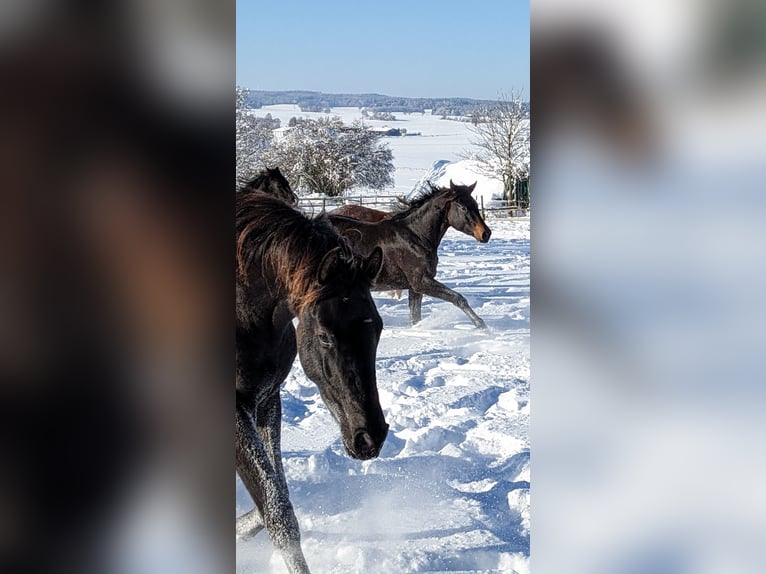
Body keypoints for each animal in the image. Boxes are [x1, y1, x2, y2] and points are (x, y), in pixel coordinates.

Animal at [236, 192, 390, 572]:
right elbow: (278, 515)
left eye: (378, 327)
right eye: (324, 336)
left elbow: (274, 497)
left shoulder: (266, 401)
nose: (370, 437)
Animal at [330, 182, 492, 330]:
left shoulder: (414, 288)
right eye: (463, 207)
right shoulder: (420, 282)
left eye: (476, 204)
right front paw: (481, 324)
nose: (486, 234)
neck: (416, 236)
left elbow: (415, 317)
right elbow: (458, 298)